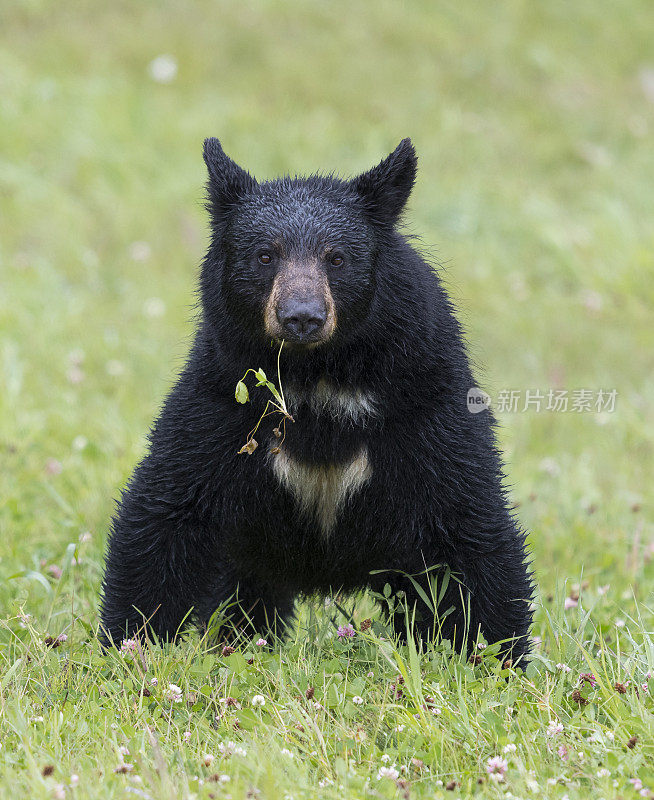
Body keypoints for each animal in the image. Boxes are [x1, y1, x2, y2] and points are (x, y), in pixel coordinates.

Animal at [100, 138, 536, 660]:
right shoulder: (221, 399)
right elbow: (168, 509)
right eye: (265, 256)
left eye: (337, 258)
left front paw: (491, 655)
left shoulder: (424, 399)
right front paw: (128, 644)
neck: (318, 382)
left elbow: (464, 521)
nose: (302, 317)